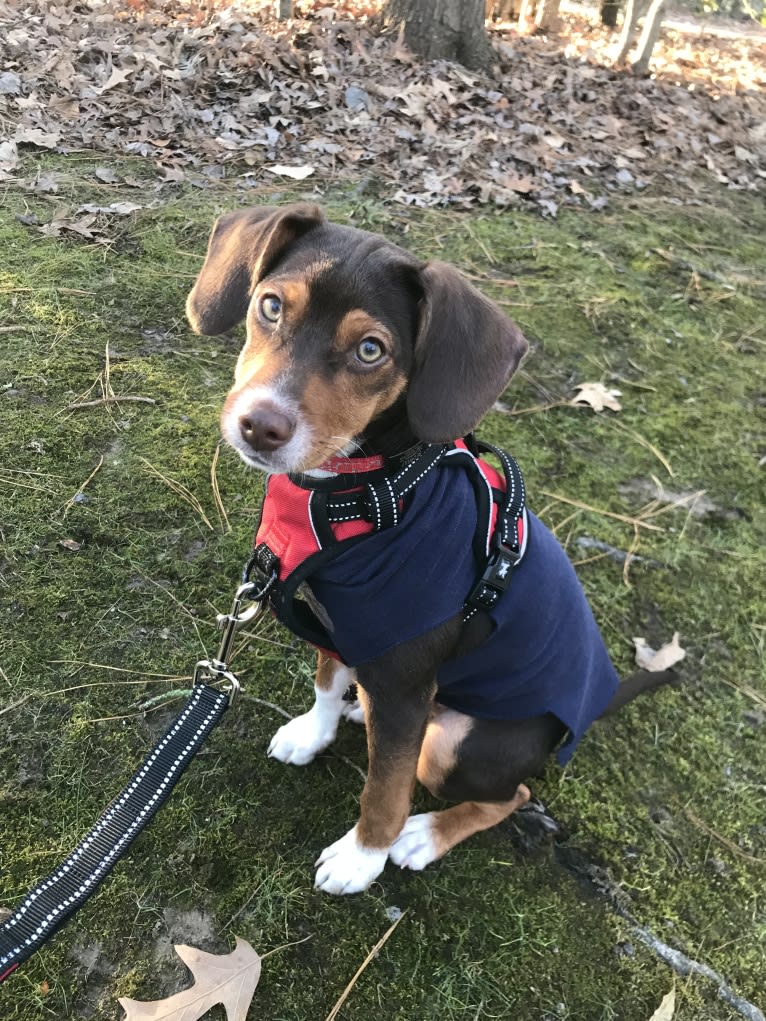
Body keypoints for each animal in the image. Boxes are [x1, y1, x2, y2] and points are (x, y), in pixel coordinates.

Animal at [187, 205, 678, 894]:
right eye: (271, 306)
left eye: (371, 350)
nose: (259, 425)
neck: (366, 490)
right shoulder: (343, 629)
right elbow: (325, 682)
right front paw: (314, 732)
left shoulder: (403, 678)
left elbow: (385, 788)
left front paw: (362, 857)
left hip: (454, 746)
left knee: (513, 793)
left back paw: (425, 835)